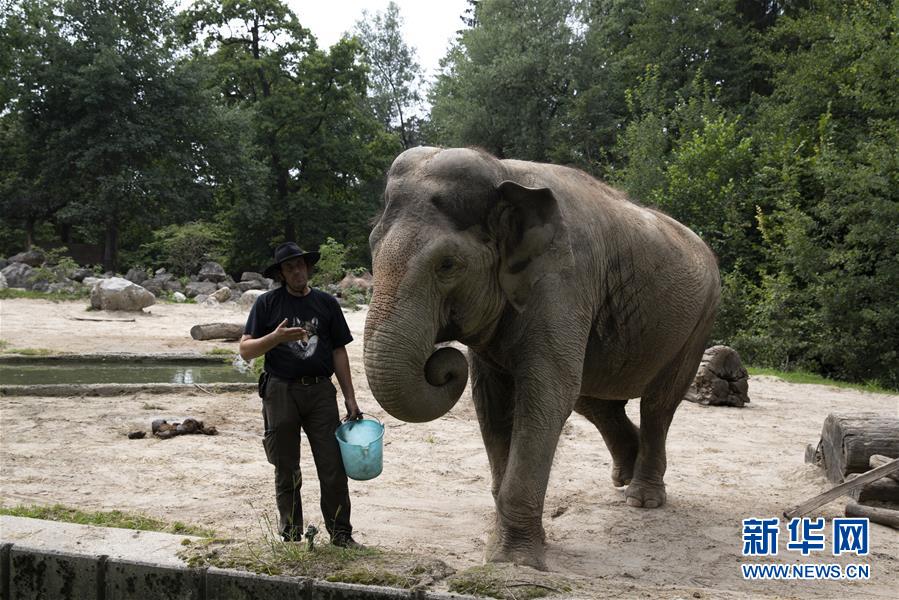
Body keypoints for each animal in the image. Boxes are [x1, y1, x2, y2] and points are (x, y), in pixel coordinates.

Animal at [362, 145, 720, 568]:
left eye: (447, 264)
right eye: (372, 246)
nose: (443, 364)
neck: (503, 173)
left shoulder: (564, 280)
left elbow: (545, 394)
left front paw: (512, 562)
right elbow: (492, 402)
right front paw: (505, 547)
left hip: (700, 320)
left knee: (657, 403)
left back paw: (642, 497)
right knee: (593, 399)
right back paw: (624, 475)